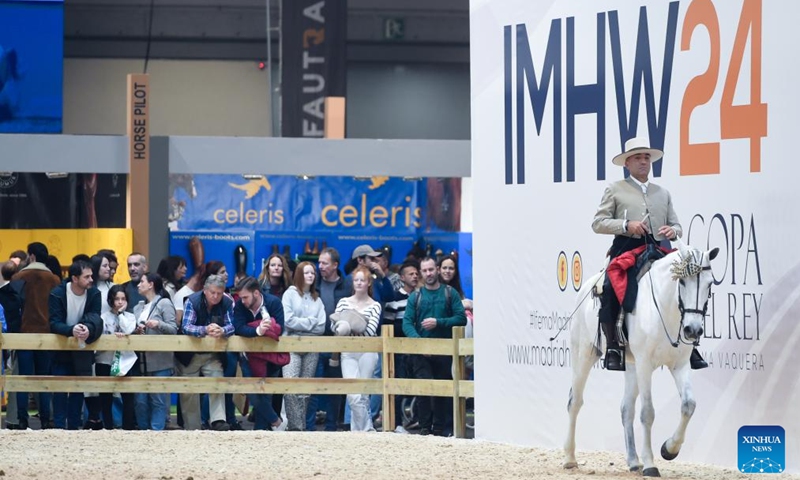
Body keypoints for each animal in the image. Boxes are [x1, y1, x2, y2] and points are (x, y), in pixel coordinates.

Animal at [564, 240, 720, 476]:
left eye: (709, 285)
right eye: (682, 281)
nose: (693, 330)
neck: (666, 309)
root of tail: (584, 289)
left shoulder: (680, 365)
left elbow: (688, 405)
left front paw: (669, 449)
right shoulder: (645, 364)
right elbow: (648, 413)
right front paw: (651, 464)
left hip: (631, 366)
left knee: (626, 409)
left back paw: (633, 461)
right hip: (584, 354)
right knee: (575, 401)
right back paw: (570, 458)